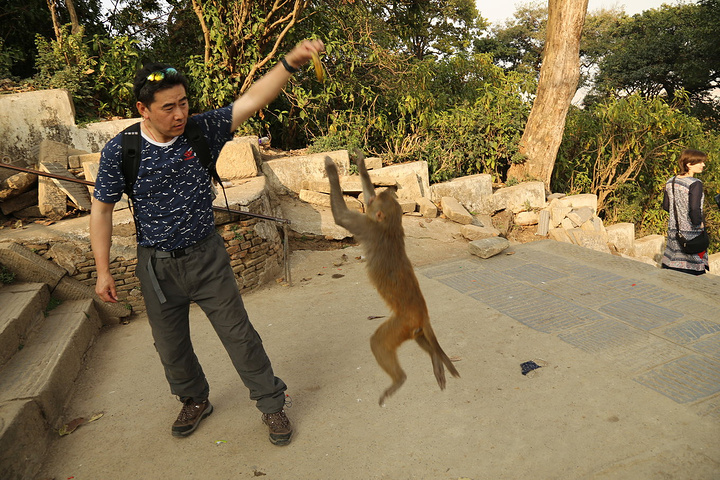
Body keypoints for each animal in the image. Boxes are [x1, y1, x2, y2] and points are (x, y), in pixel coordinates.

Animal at [324, 155, 458, 404]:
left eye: (375, 202)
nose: (373, 199)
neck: (391, 228)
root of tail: (422, 314)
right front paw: (360, 163)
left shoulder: (367, 227)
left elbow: (341, 216)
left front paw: (331, 170)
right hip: (414, 328)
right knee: (421, 339)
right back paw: (435, 358)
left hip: (402, 324)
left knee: (378, 341)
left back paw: (399, 379)